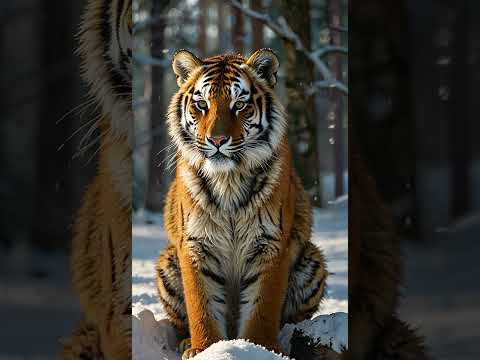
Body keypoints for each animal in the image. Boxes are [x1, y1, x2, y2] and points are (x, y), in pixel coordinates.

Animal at [156, 49, 328, 358]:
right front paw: (205, 349)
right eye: (201, 104)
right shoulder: (196, 244)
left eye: (239, 105)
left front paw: (259, 348)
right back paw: (186, 342)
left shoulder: (270, 243)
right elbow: (201, 306)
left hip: (312, 260)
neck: (228, 180)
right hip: (167, 262)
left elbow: (263, 307)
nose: (217, 140)